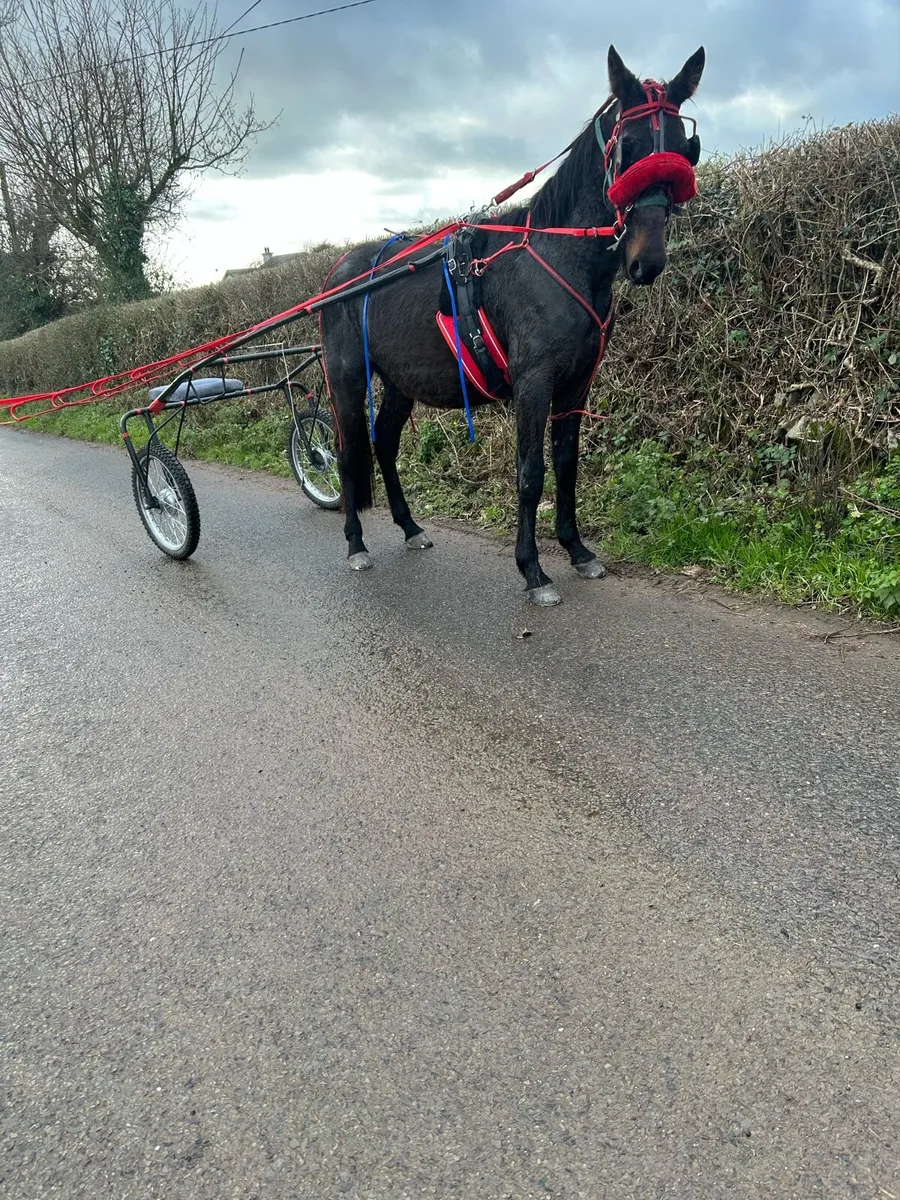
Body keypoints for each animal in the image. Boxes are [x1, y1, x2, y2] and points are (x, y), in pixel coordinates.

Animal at [319, 45, 705, 604]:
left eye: (682, 148)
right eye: (628, 145)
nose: (646, 262)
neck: (555, 256)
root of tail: (340, 273)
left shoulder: (576, 385)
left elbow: (566, 466)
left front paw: (577, 550)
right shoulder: (533, 382)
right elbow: (531, 473)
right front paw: (533, 569)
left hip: (400, 382)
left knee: (385, 444)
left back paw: (410, 527)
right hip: (348, 379)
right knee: (350, 454)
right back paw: (356, 543)